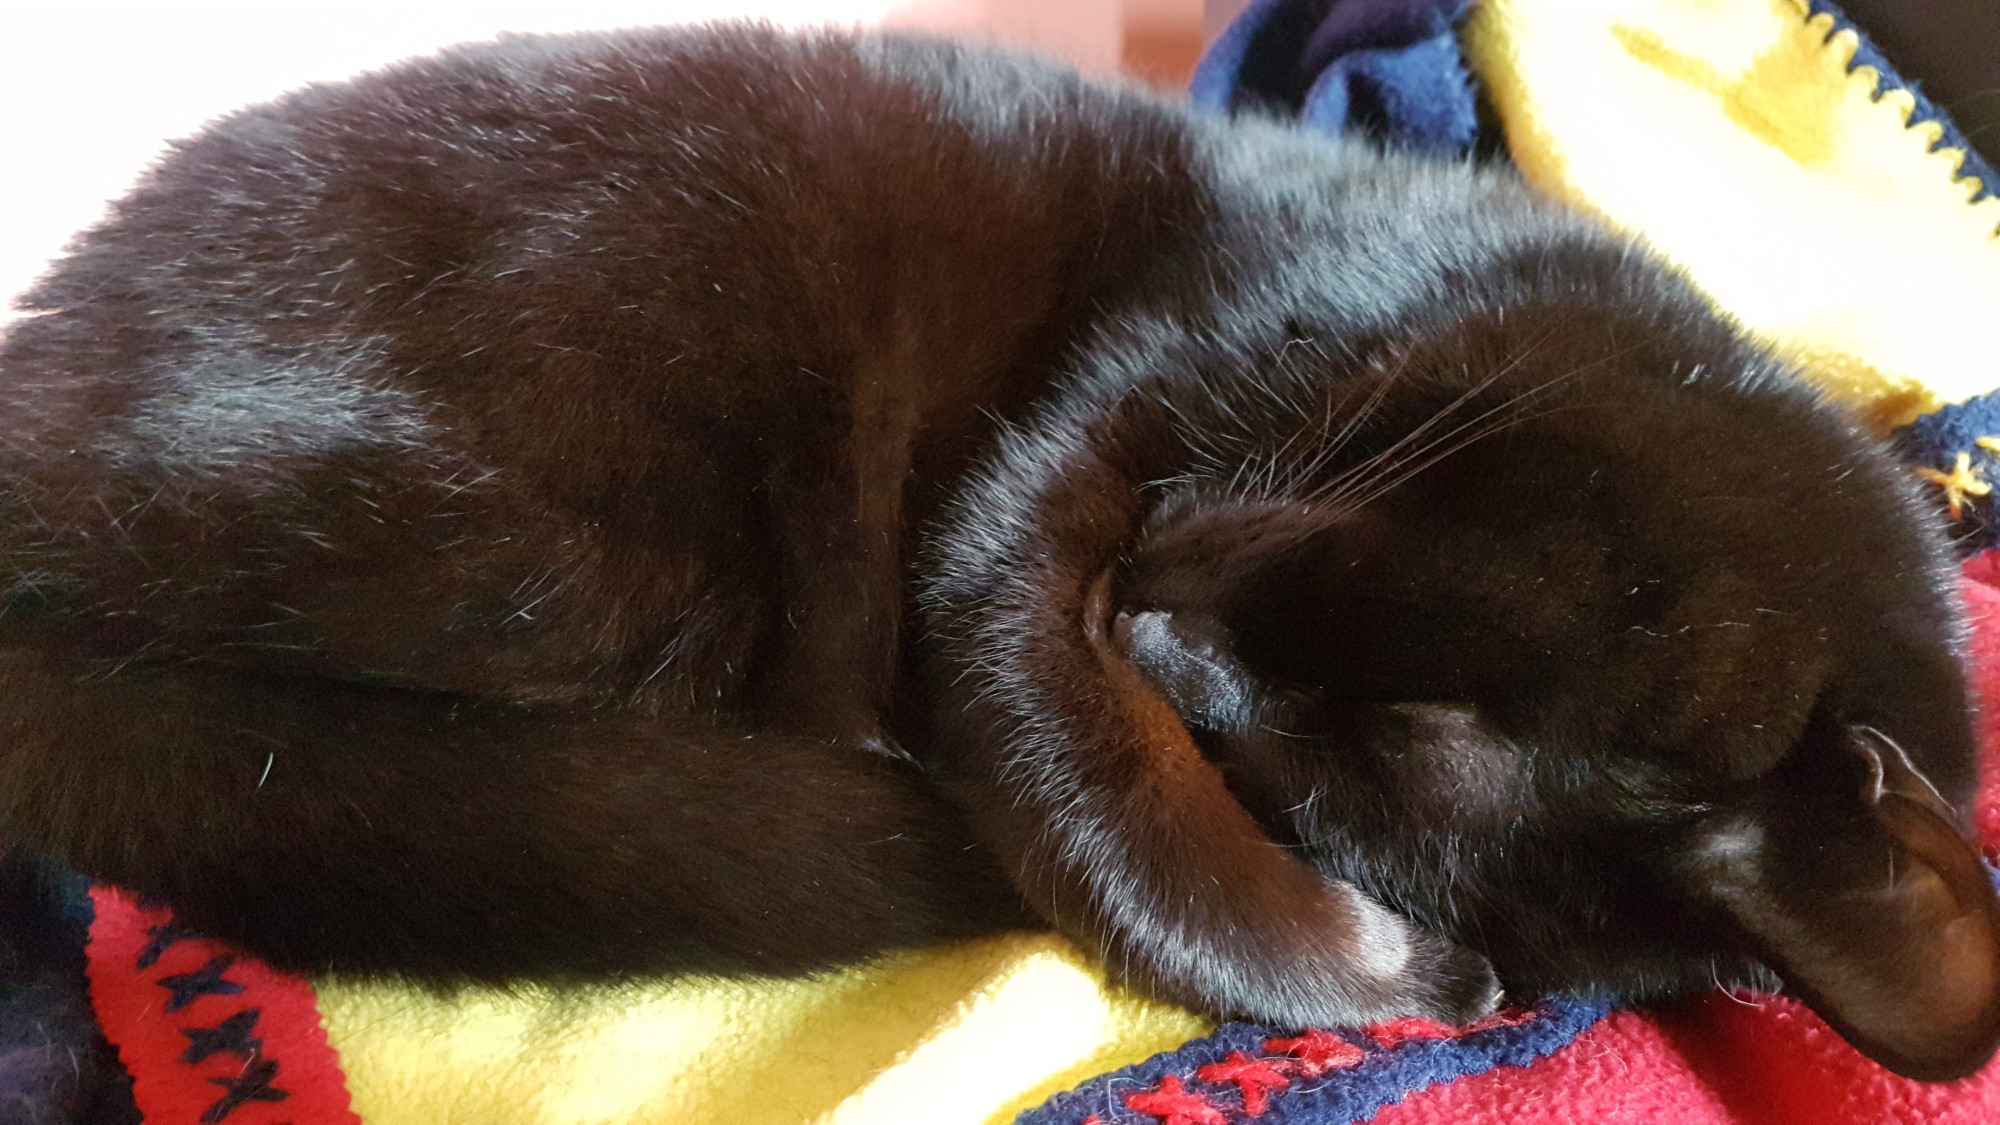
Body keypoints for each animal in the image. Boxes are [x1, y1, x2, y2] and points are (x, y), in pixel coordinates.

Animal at [3, 21, 2000, 1080]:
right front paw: (1375, 976)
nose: (1161, 610)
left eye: (1351, 764)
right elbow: (1060, 740)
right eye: (1365, 501)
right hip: (583, 477)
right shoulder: (1087, 442)